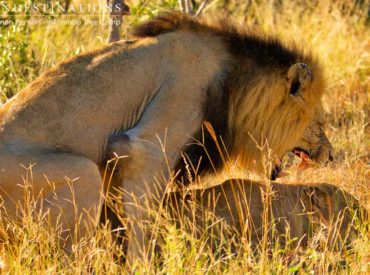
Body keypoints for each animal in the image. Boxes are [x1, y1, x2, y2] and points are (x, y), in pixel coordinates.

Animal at [0, 11, 330, 260]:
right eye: (319, 122)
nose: (331, 155)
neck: (235, 83)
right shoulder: (146, 145)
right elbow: (142, 221)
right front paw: (143, 263)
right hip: (81, 173)